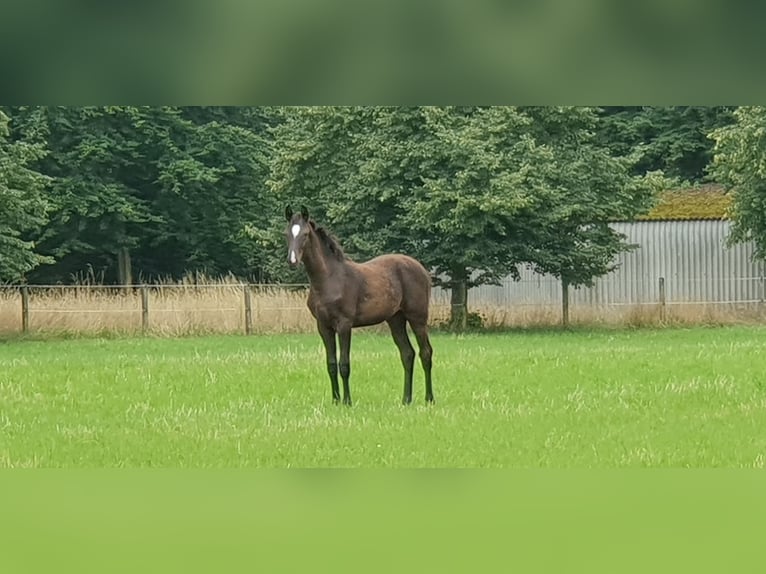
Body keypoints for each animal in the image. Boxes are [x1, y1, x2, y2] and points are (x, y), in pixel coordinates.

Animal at [284, 205, 436, 408]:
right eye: (286, 234)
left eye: (306, 234)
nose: (292, 261)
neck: (329, 278)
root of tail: (423, 270)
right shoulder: (324, 326)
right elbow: (331, 364)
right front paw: (335, 400)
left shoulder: (344, 325)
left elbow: (344, 364)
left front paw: (347, 401)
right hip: (396, 320)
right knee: (407, 354)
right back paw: (406, 400)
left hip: (417, 318)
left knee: (425, 353)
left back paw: (429, 399)